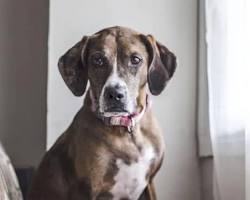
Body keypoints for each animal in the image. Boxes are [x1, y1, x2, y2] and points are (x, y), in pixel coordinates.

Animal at [28, 26, 177, 200]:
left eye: (135, 59)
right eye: (98, 60)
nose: (115, 94)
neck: (125, 130)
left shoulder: (150, 183)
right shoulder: (85, 190)